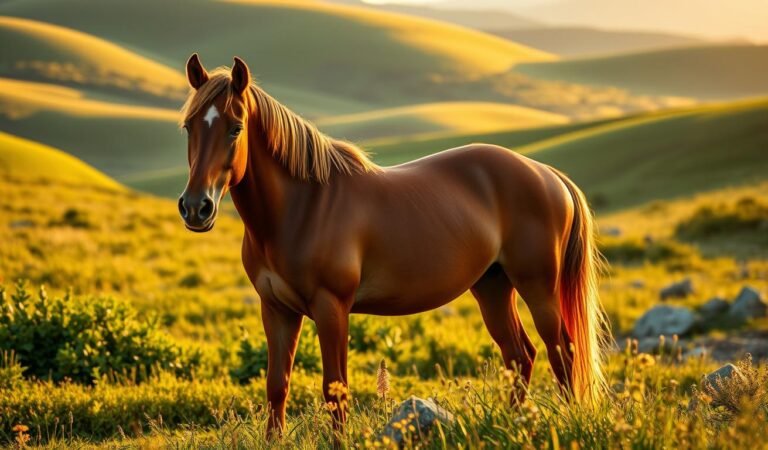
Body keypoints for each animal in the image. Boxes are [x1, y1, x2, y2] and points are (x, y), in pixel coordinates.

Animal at [177, 54, 609, 436]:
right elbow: (276, 387)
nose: (196, 208)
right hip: (493, 286)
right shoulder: (276, 309)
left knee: (562, 352)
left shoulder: (331, 308)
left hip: (538, 287)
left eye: (236, 127)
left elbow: (335, 391)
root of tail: (547, 174)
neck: (303, 207)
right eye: (188, 127)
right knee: (520, 356)